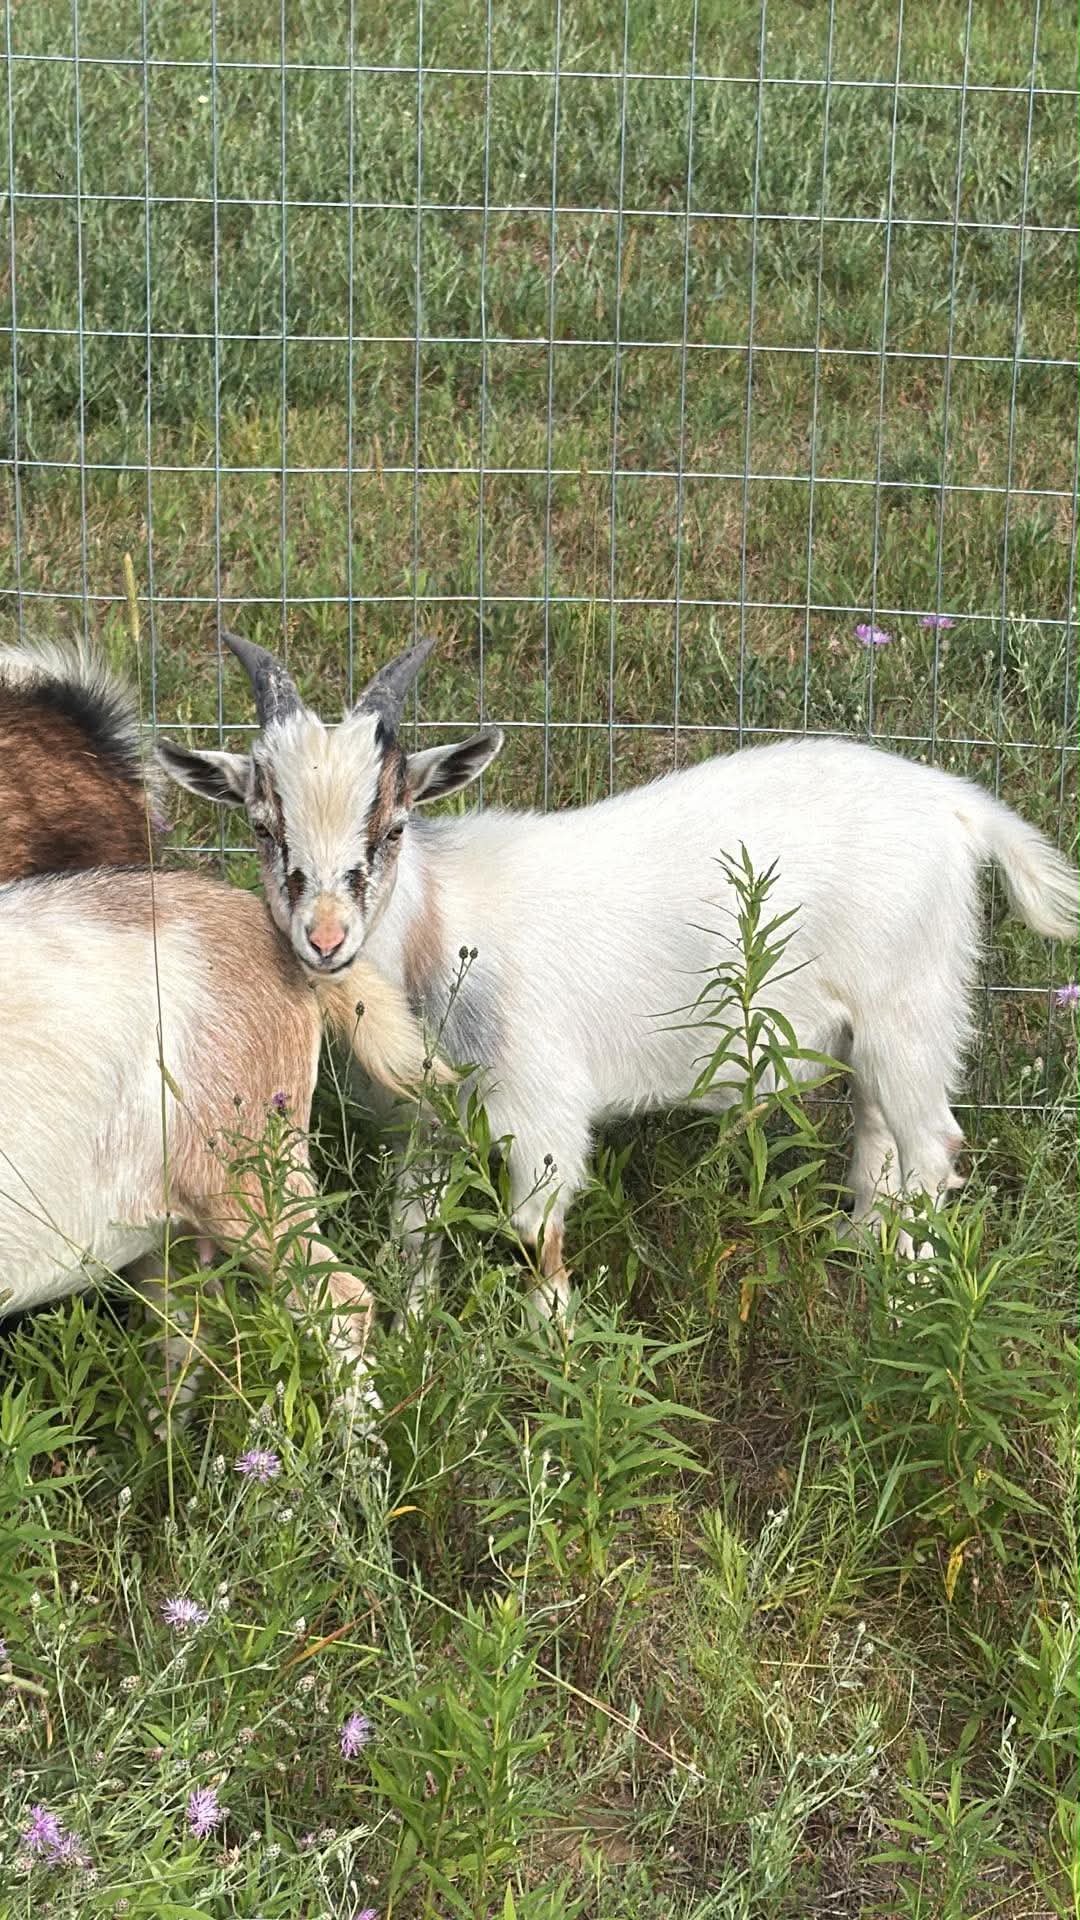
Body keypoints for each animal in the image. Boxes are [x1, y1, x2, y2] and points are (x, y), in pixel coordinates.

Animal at [159, 633, 1080, 1308]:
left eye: (391, 826)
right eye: (263, 827)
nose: (324, 938)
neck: (438, 927)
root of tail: (958, 807)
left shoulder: (540, 1108)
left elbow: (538, 1234)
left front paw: (555, 1348)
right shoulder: (424, 1119)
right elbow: (413, 1229)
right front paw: (416, 1331)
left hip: (912, 1004)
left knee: (934, 1145)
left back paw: (909, 1291)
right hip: (875, 1023)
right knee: (878, 1127)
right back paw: (862, 1244)